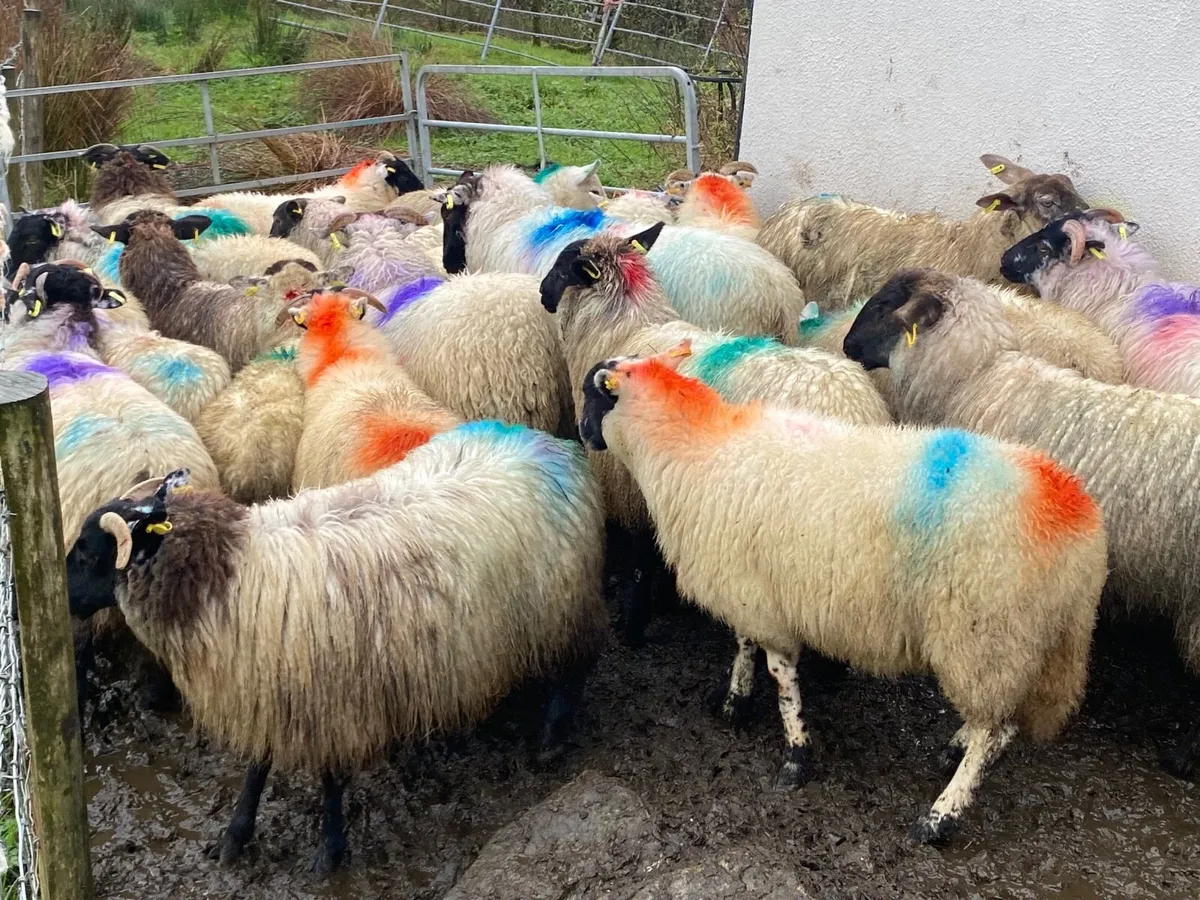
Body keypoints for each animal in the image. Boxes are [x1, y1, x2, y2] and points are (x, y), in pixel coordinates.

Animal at [64, 423, 607, 873]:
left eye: (89, 552)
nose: (63, 598)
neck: (230, 568)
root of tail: (559, 447)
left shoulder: (332, 699)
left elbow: (328, 781)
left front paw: (329, 852)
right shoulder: (271, 687)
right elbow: (256, 770)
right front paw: (234, 838)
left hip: (564, 607)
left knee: (577, 666)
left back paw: (552, 738)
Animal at [541, 222, 889, 642]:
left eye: (562, 267)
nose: (541, 293)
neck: (625, 328)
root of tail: (859, 407)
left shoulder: (631, 484)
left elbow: (642, 560)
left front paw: (634, 625)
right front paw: (666, 600)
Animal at [579, 344, 1104, 843]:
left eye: (591, 393)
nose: (582, 433)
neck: (696, 446)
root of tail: (1076, 518)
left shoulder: (761, 598)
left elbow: (782, 679)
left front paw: (795, 757)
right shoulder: (749, 588)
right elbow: (744, 645)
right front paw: (735, 702)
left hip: (986, 634)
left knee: (994, 730)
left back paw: (941, 816)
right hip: (1021, 641)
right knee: (993, 722)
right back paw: (954, 747)